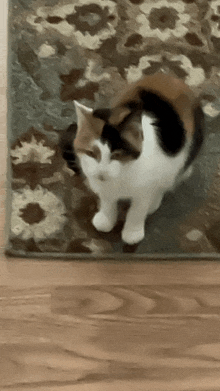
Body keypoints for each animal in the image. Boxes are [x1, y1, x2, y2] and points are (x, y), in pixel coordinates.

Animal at [60, 72, 205, 245]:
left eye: (117, 155)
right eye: (91, 153)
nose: (101, 173)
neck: (122, 173)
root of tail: (170, 78)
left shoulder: (145, 188)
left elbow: (137, 210)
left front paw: (132, 233)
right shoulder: (104, 187)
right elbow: (107, 202)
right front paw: (105, 220)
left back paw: (155, 201)